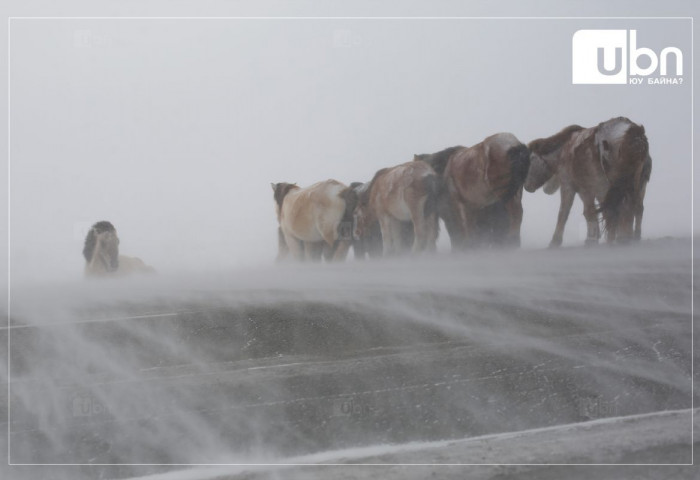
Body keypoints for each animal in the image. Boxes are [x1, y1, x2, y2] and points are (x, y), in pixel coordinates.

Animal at [524, 117, 652, 248]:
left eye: (528, 163)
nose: (526, 187)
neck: (564, 150)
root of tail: (634, 133)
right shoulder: (586, 190)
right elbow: (592, 212)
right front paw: (595, 236)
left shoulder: (571, 186)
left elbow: (566, 213)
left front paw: (556, 241)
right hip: (636, 185)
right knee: (635, 207)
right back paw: (630, 237)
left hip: (608, 186)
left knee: (616, 210)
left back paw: (617, 239)